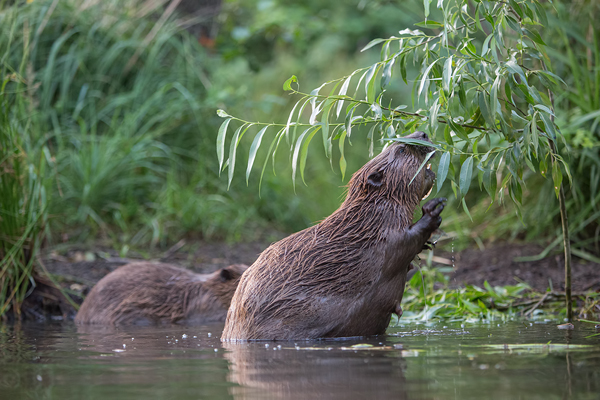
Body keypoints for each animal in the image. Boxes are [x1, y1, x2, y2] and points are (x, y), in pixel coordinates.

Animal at [223, 131, 442, 340]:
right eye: (402, 150)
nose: (423, 134)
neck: (368, 214)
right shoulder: (383, 231)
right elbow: (404, 242)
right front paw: (433, 210)